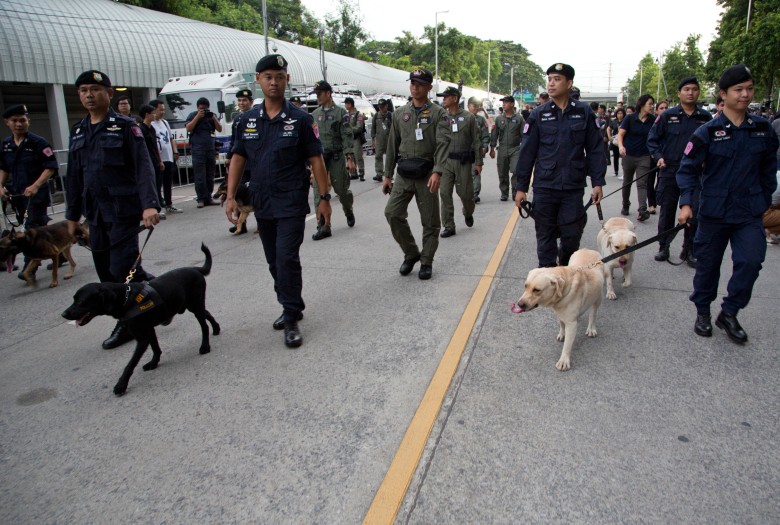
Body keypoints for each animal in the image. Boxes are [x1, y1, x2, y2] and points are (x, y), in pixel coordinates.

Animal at [62, 244, 221, 396]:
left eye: (80, 302)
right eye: (73, 299)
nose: (63, 314)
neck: (126, 299)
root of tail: (194, 269)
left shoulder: (142, 337)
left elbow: (130, 364)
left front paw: (121, 385)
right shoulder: (149, 330)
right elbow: (155, 348)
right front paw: (154, 363)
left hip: (195, 304)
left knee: (204, 325)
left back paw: (205, 346)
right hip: (191, 305)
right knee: (207, 314)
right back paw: (216, 328)